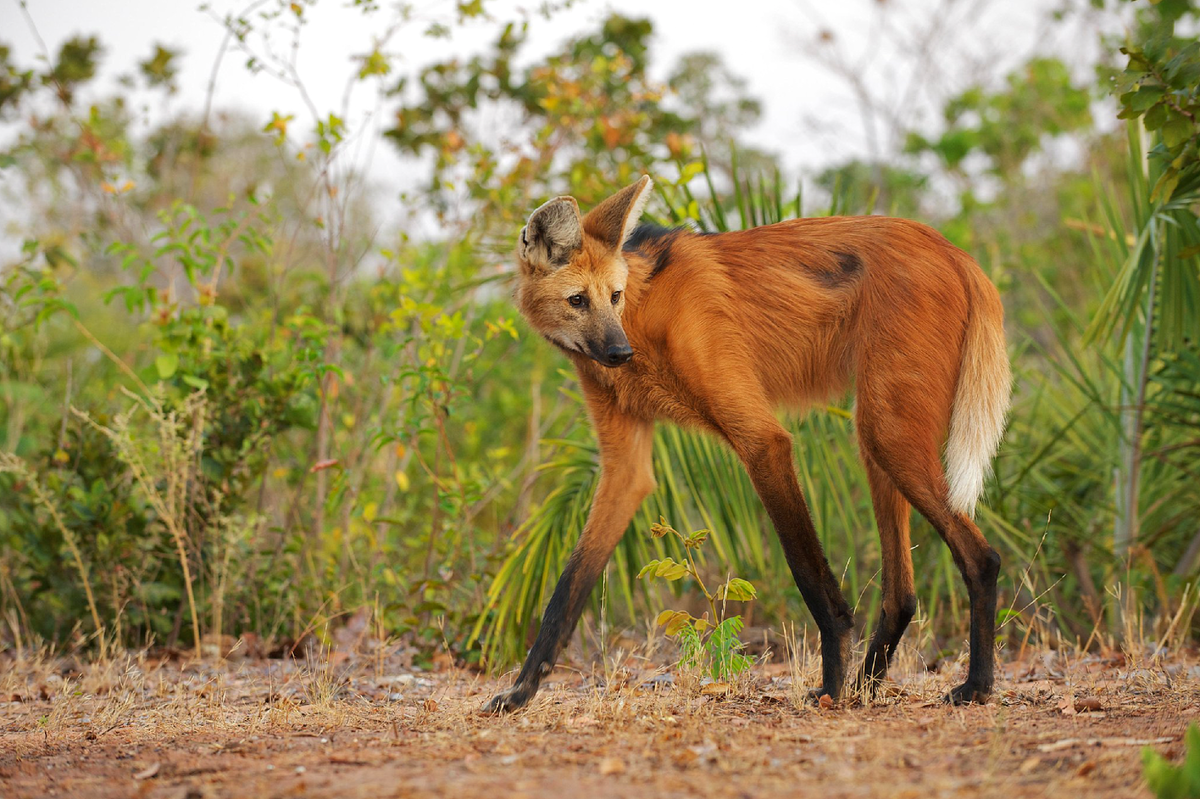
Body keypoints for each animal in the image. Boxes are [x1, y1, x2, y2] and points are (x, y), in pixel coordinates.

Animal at [482, 176, 1008, 710]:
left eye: (614, 296)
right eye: (577, 301)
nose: (618, 352)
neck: (645, 316)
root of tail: (954, 251)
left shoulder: (762, 440)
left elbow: (806, 571)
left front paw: (830, 686)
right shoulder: (625, 469)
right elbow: (568, 587)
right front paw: (520, 691)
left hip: (888, 435)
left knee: (982, 558)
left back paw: (974, 686)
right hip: (878, 437)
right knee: (902, 593)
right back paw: (867, 686)